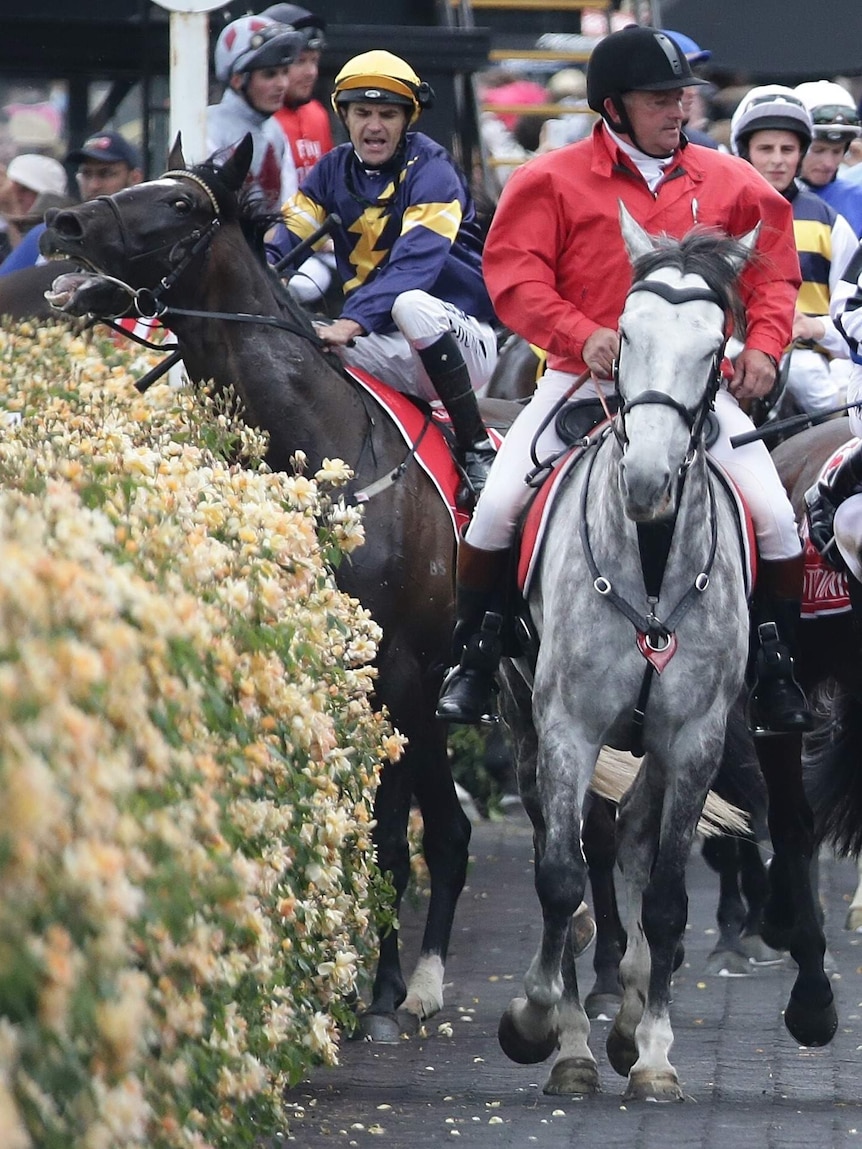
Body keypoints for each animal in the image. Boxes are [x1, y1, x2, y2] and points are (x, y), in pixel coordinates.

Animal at [40, 134, 517, 1043]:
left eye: (180, 204)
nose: (63, 223)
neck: (320, 443)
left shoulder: (397, 671)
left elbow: (396, 837)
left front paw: (386, 995)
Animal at [498, 211, 763, 1098]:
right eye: (625, 331)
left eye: (716, 348)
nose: (646, 479)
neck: (647, 557)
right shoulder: (568, 727)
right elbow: (557, 877)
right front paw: (546, 1026)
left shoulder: (693, 739)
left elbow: (670, 898)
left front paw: (650, 1050)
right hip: (523, 722)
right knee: (569, 848)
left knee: (639, 848)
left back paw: (632, 1012)